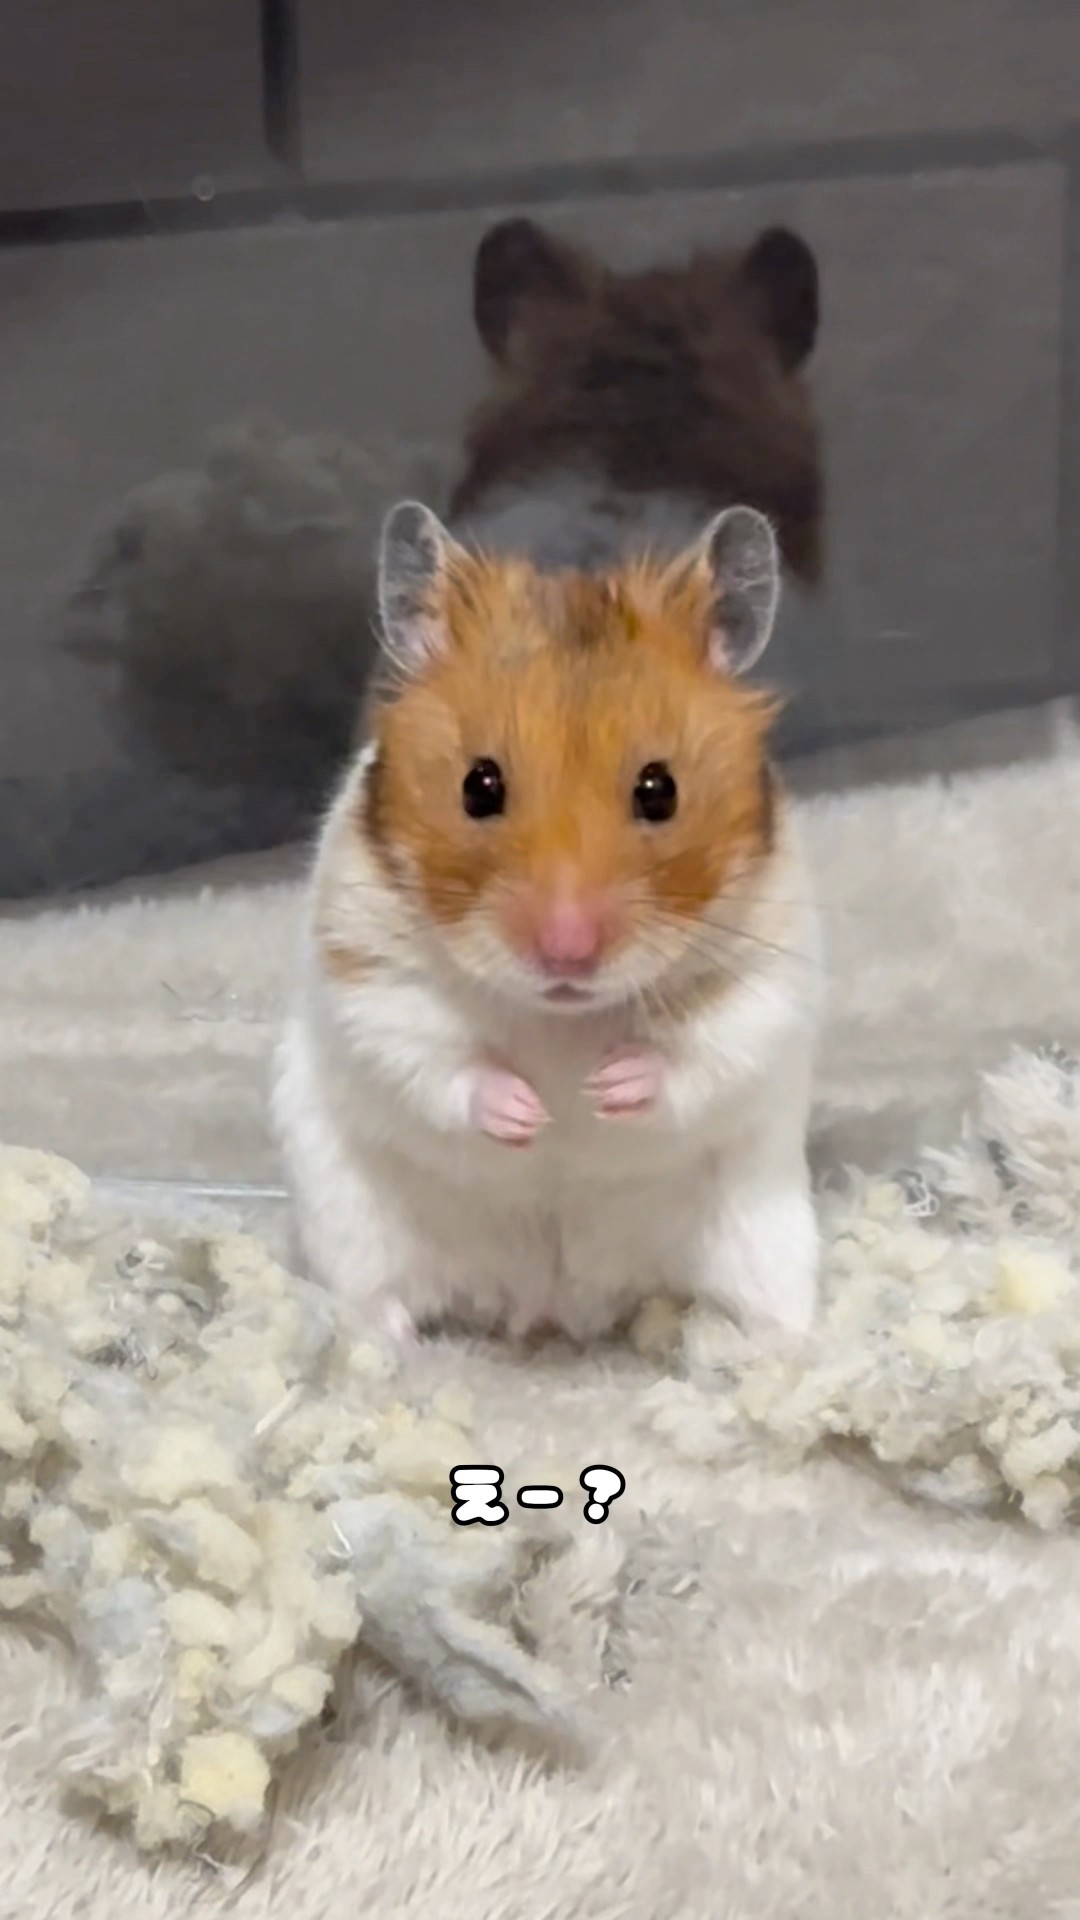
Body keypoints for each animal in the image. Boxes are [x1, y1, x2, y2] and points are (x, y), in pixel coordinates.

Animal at [273, 497, 822, 1350]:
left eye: (659, 790)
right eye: (479, 785)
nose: (567, 953)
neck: (561, 1019)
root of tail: (552, 1304)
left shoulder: (764, 975)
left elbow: (698, 1051)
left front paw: (605, 1087)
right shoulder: (370, 971)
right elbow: (440, 1059)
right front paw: (531, 1112)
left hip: (765, 1233)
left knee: (773, 1309)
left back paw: (765, 1352)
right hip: (347, 1217)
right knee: (373, 1297)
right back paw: (385, 1348)